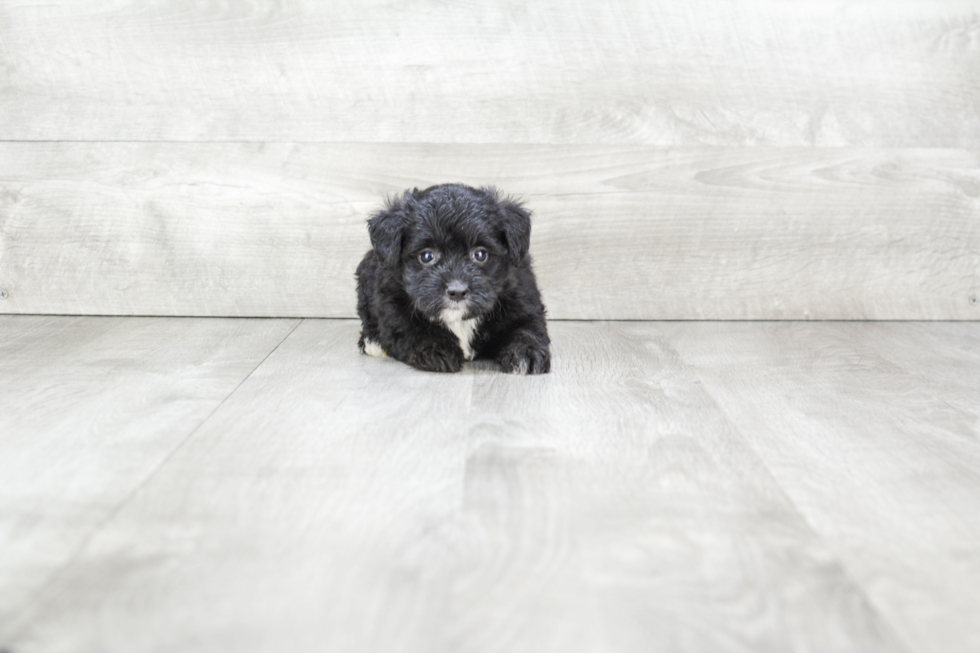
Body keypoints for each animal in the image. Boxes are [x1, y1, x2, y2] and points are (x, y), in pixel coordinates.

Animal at [354, 186, 552, 374]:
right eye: (426, 256)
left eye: (480, 254)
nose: (457, 291)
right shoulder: (393, 304)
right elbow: (412, 329)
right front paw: (437, 349)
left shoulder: (522, 299)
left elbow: (525, 328)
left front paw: (527, 352)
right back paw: (372, 342)